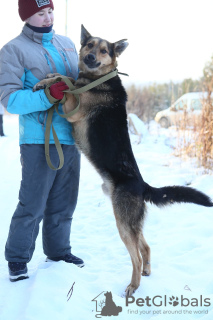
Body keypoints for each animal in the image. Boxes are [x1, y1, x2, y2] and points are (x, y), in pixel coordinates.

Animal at [33, 25, 213, 298]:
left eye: (103, 50)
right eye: (89, 45)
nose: (90, 57)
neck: (97, 79)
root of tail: (143, 185)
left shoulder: (73, 109)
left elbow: (66, 82)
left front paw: (53, 81)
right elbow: (64, 78)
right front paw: (46, 80)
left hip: (123, 223)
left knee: (136, 256)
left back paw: (133, 286)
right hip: (129, 222)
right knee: (145, 247)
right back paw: (146, 273)